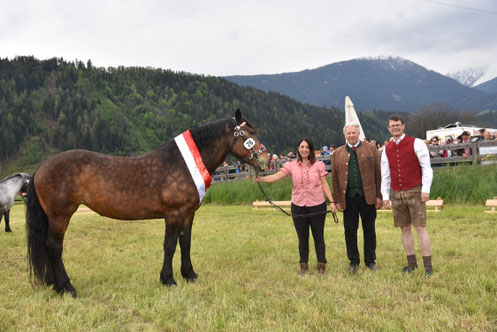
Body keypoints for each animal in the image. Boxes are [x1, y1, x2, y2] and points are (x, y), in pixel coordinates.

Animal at [25, 109, 270, 298]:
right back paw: (67, 288)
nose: (266, 160)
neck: (182, 164)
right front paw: (168, 279)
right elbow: (170, 245)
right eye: (250, 133)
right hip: (60, 215)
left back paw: (57, 286)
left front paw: (189, 274)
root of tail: (42, 167)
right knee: (54, 247)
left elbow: (186, 243)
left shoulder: (188, 214)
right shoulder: (173, 214)